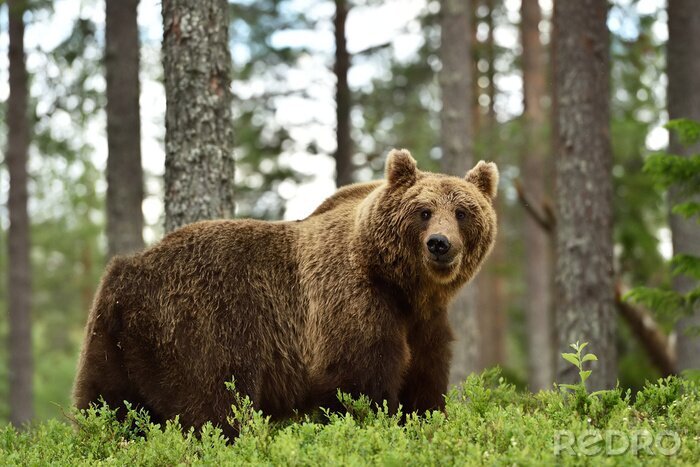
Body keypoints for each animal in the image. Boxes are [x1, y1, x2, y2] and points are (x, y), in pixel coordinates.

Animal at [72, 149, 498, 439]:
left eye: (462, 213)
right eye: (423, 212)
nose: (440, 244)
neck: (403, 287)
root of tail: (128, 268)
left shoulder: (425, 324)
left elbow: (425, 384)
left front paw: (424, 423)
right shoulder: (352, 304)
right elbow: (360, 384)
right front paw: (375, 423)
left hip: (111, 337)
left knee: (104, 402)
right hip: (200, 327)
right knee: (212, 406)